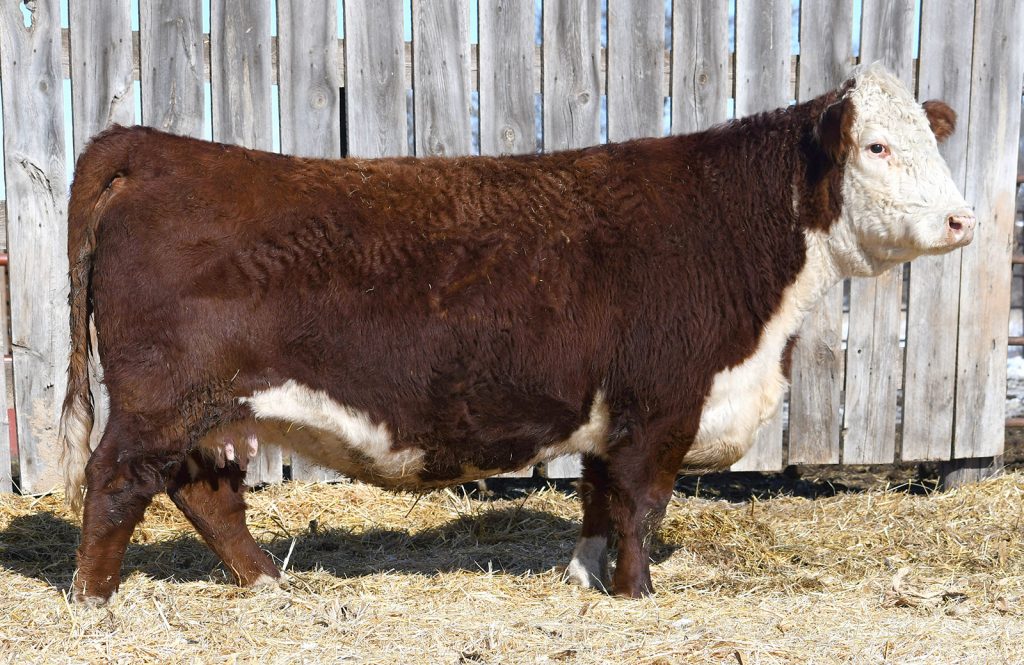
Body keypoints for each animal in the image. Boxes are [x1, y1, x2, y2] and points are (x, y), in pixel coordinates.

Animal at [59, 64, 974, 604]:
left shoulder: (615, 415)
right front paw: (637, 595)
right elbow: (641, 503)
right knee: (118, 480)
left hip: (207, 409)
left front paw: (585, 577)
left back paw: (269, 583)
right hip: (160, 397)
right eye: (878, 146)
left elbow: (600, 498)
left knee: (204, 492)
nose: (964, 219)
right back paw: (95, 598)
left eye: (932, 141)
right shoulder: (661, 405)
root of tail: (151, 145)